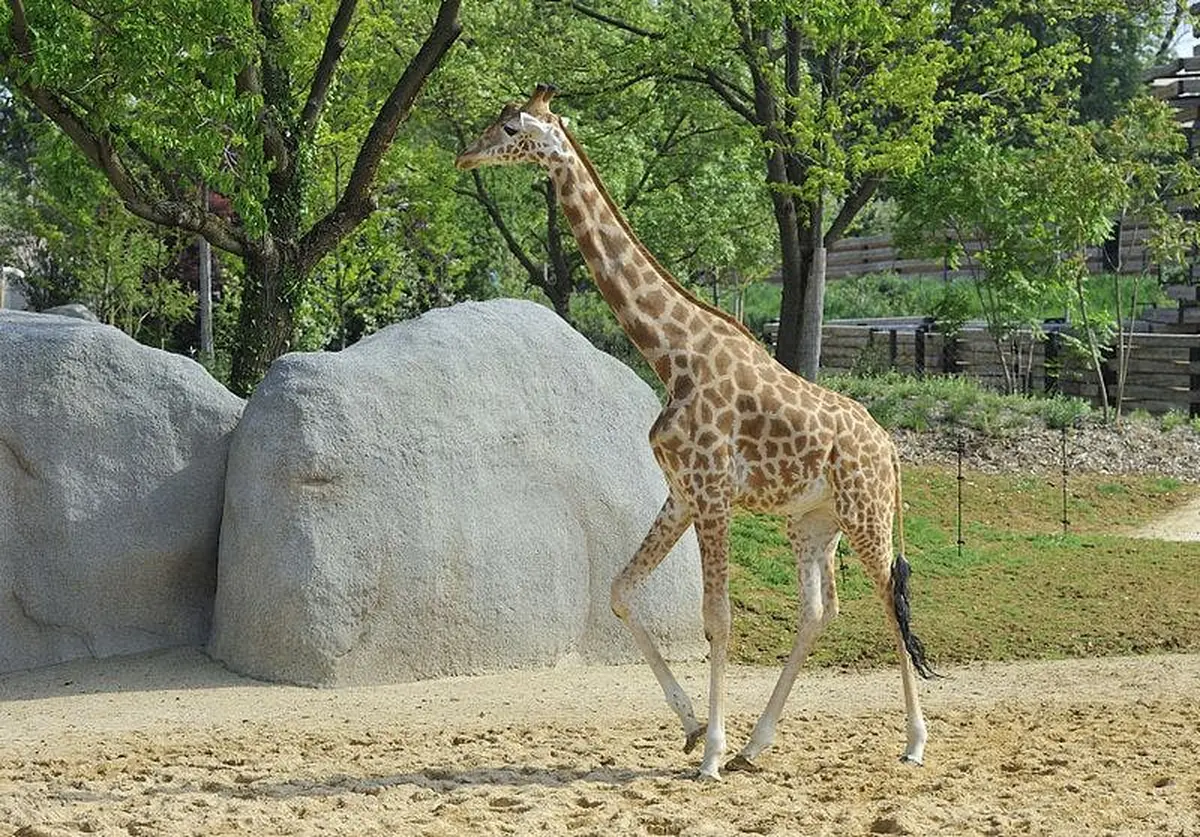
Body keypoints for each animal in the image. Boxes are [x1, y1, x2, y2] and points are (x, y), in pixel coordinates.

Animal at [456, 84, 936, 781]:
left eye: (512, 127)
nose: (466, 155)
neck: (670, 354)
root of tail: (893, 449)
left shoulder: (712, 494)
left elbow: (718, 619)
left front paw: (707, 750)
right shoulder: (681, 493)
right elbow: (620, 590)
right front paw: (689, 730)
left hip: (865, 512)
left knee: (890, 602)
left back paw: (913, 742)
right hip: (812, 520)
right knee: (820, 610)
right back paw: (756, 744)